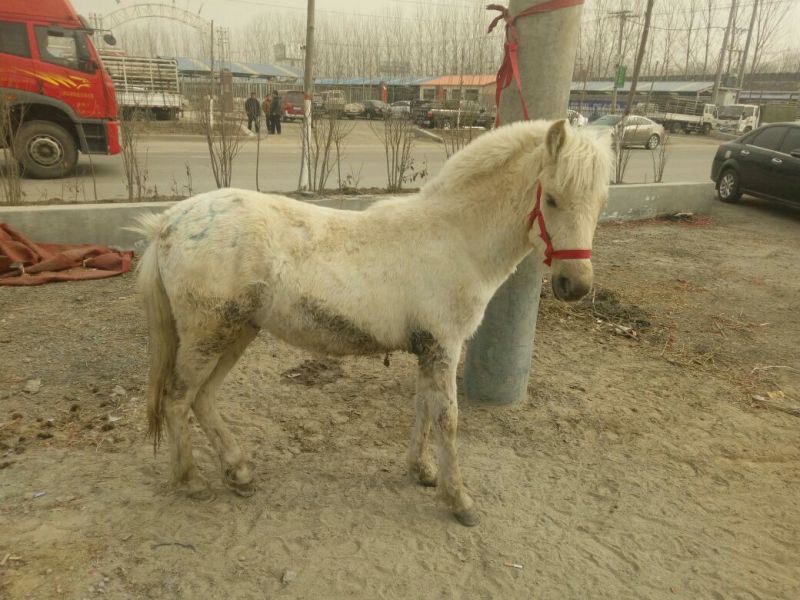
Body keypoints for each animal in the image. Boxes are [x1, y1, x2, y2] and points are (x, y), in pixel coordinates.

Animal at [133, 119, 612, 527]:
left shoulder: (429, 349)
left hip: (238, 332)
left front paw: (422, 471)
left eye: (600, 202)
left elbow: (423, 408)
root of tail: (168, 224)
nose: (575, 285)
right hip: (208, 335)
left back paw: (239, 472)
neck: (453, 238)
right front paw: (459, 500)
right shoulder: (444, 347)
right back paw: (192, 481)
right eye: (552, 198)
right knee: (178, 399)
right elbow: (448, 419)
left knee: (202, 398)